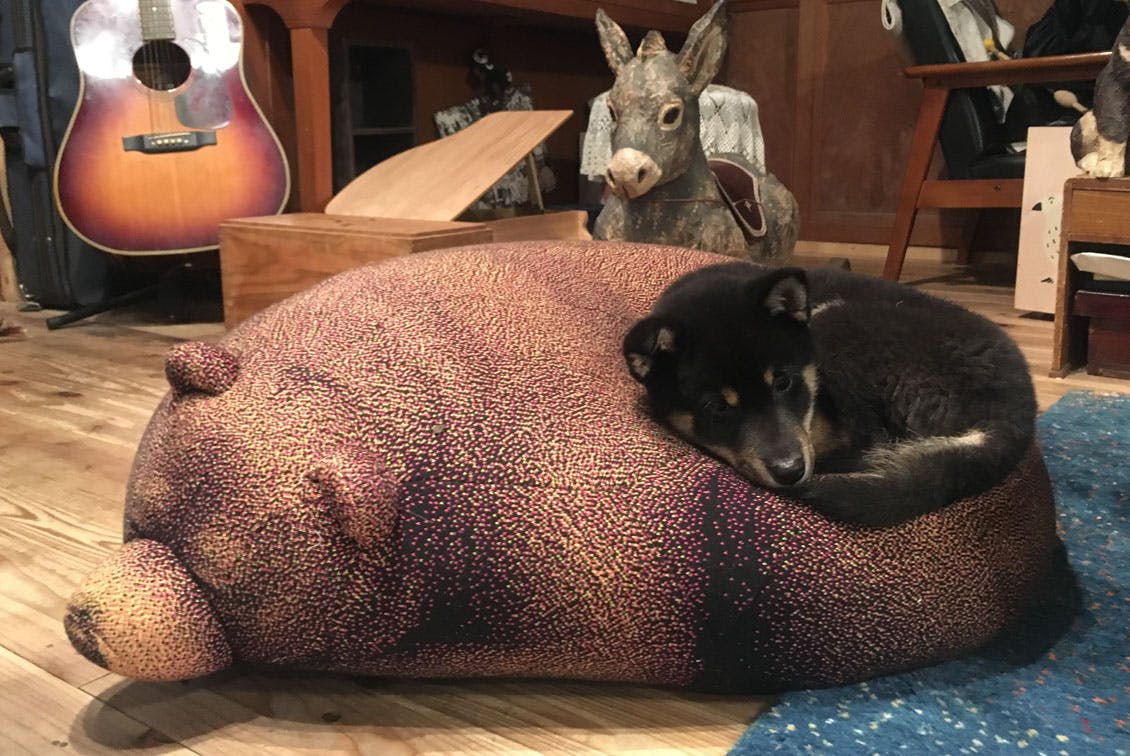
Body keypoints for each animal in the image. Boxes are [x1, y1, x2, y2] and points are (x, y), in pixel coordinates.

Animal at [623, 263, 1038, 527]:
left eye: (784, 383)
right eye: (714, 406)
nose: (791, 473)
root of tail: (1014, 416)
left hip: (838, 328)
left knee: (863, 440)